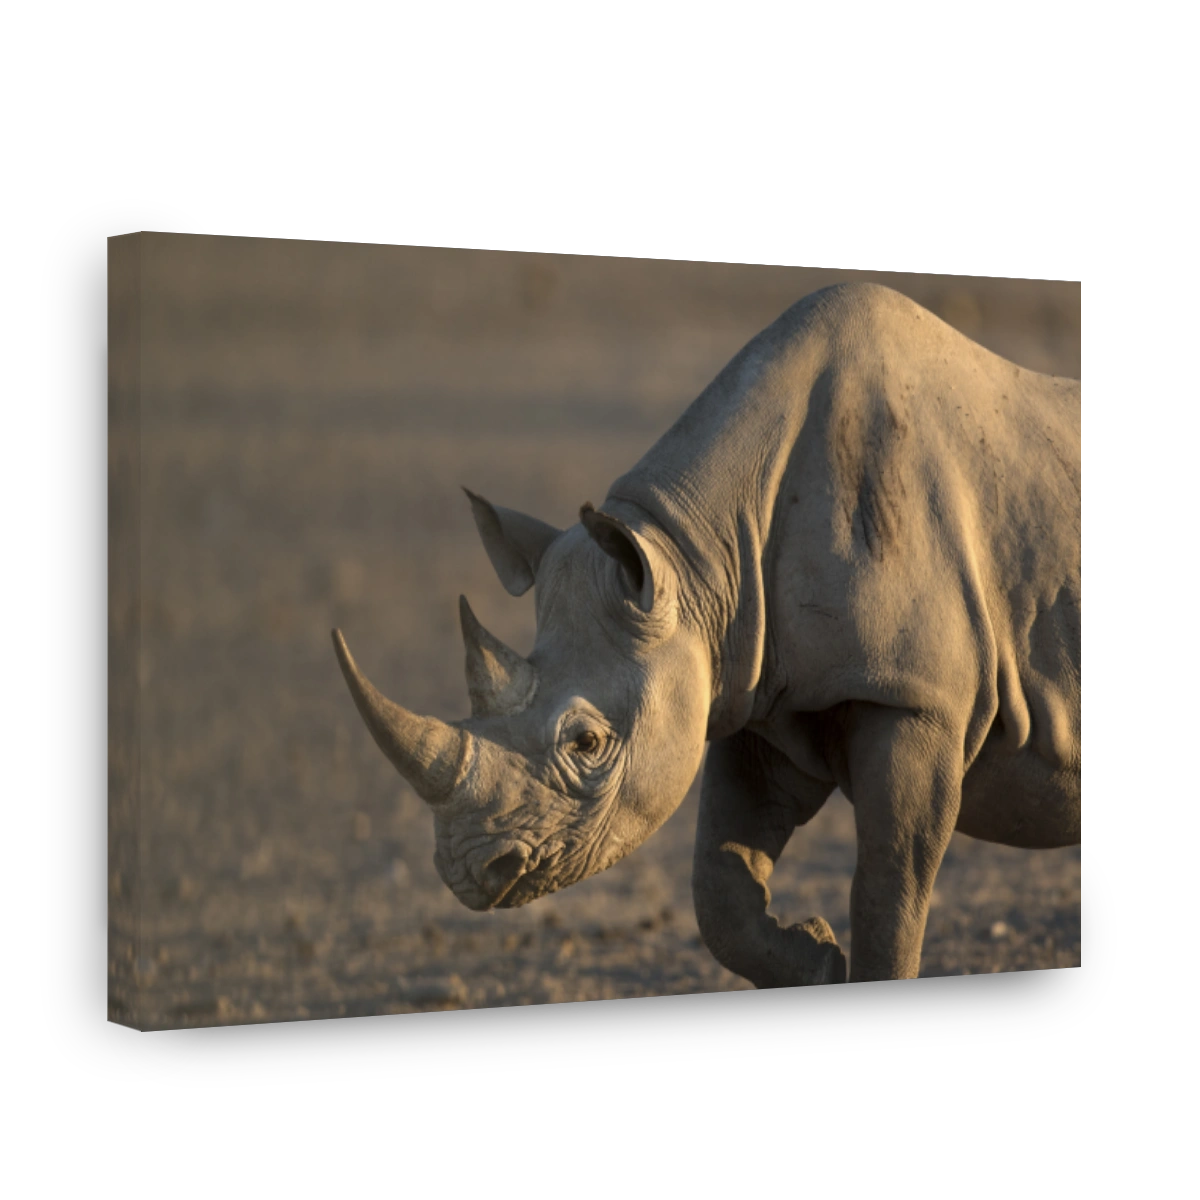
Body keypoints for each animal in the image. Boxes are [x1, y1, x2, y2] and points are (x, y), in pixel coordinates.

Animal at [332, 281, 1083, 986]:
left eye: (588, 744)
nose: (468, 871)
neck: (694, 554)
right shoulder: (755, 684)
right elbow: (718, 888)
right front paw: (815, 958)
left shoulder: (917, 697)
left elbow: (888, 887)